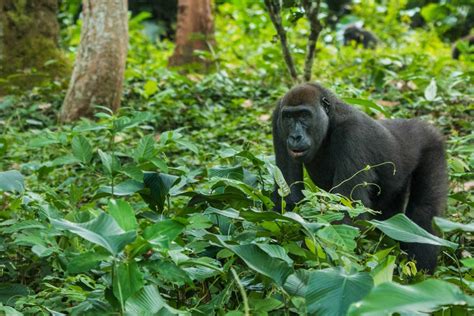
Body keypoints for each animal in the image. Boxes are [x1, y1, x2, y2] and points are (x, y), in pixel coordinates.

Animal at [274, 82, 448, 272]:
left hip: (432, 144)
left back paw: (422, 272)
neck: (331, 117)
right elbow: (289, 195)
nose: (295, 136)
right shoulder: (277, 116)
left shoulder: (353, 134)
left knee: (423, 212)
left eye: (304, 115)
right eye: (288, 117)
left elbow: (349, 217)